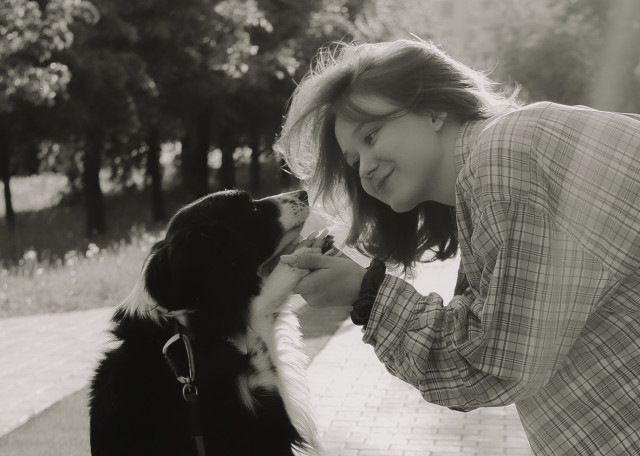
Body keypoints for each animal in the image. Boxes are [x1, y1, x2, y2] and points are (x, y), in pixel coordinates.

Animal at [89, 189, 328, 455]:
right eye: (251, 208)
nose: (303, 193)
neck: (188, 332)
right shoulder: (261, 425)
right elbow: (261, 308)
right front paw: (300, 256)